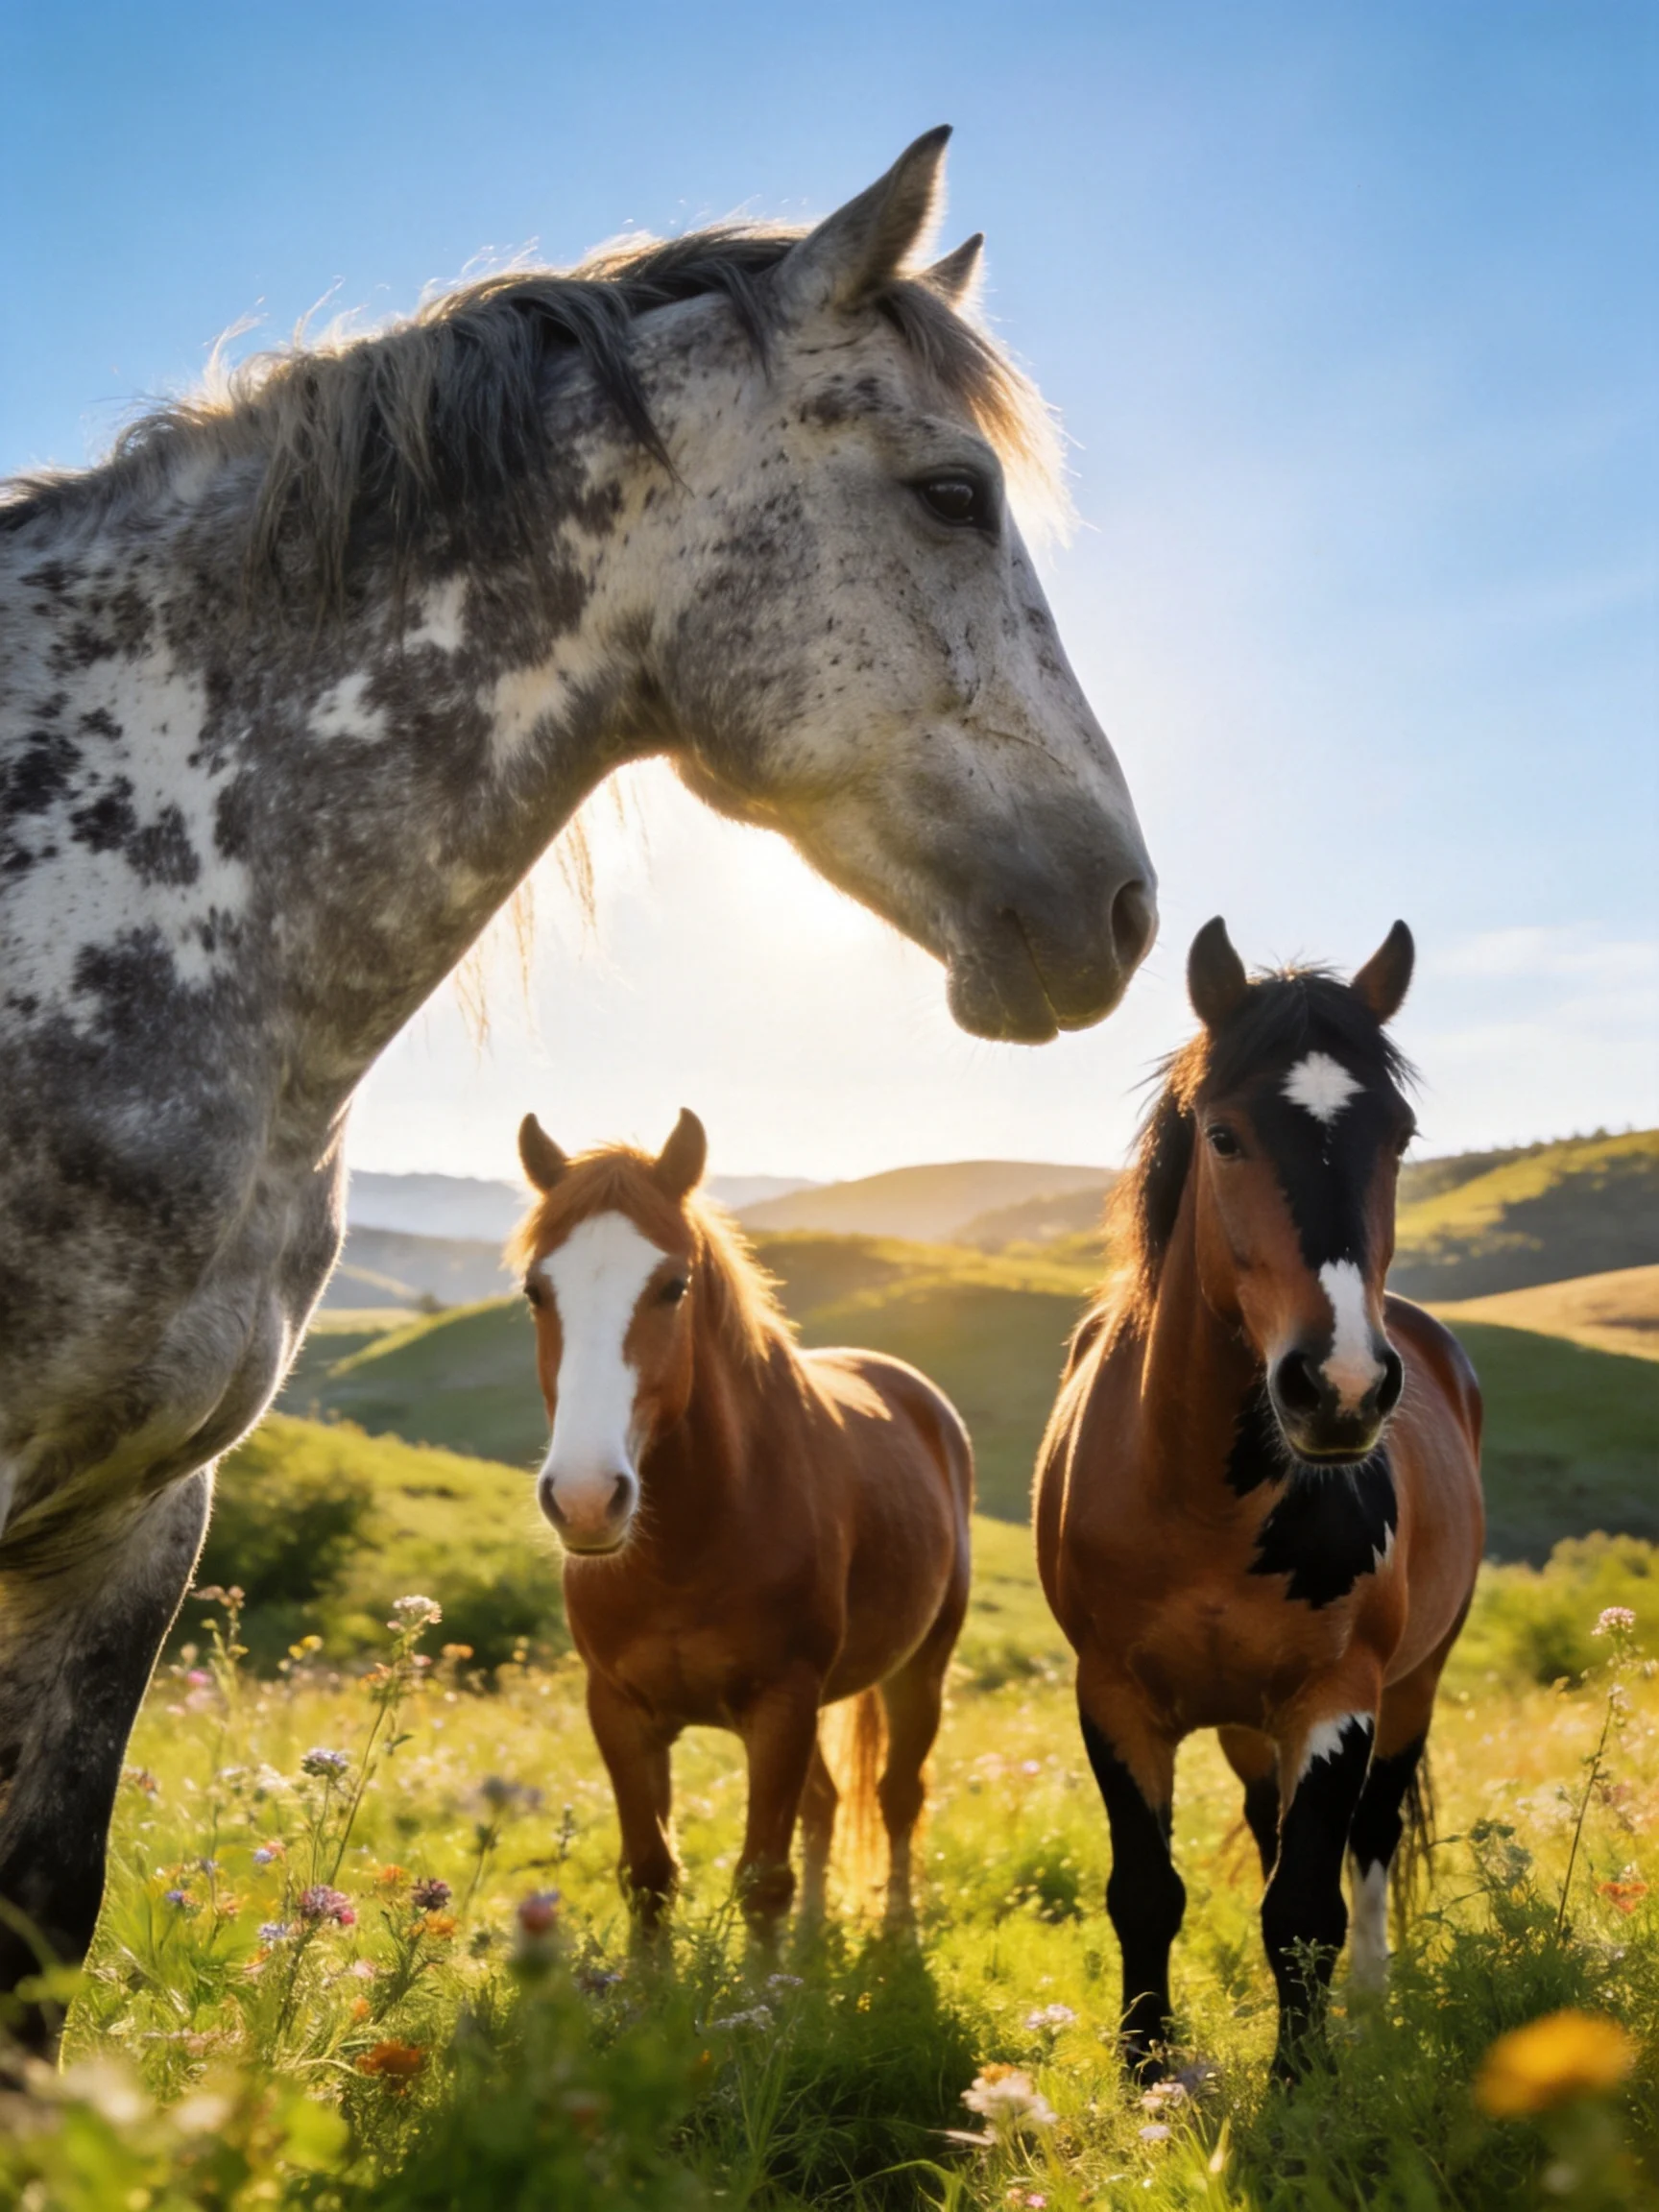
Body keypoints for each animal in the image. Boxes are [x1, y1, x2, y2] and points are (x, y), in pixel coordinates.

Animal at [508, 1107, 973, 1941]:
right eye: (536, 1289)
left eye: (673, 1286)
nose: (587, 1498)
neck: (692, 1546)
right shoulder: (618, 1712)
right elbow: (651, 1874)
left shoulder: (782, 1707)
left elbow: (763, 1881)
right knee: (828, 1804)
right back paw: (815, 1936)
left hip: (921, 1667)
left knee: (896, 1797)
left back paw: (895, 1930)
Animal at [1035, 919, 1483, 2081]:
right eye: (1226, 1136)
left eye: (1399, 1136)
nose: (1342, 1387)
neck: (1199, 1500)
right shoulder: (1113, 1696)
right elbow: (1146, 1891)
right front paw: (1146, 2071)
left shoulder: (1338, 1699)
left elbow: (1304, 1909)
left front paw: (1304, 2079)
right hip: (1245, 1720)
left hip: (1410, 1691)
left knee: (1369, 1846)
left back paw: (1367, 2008)